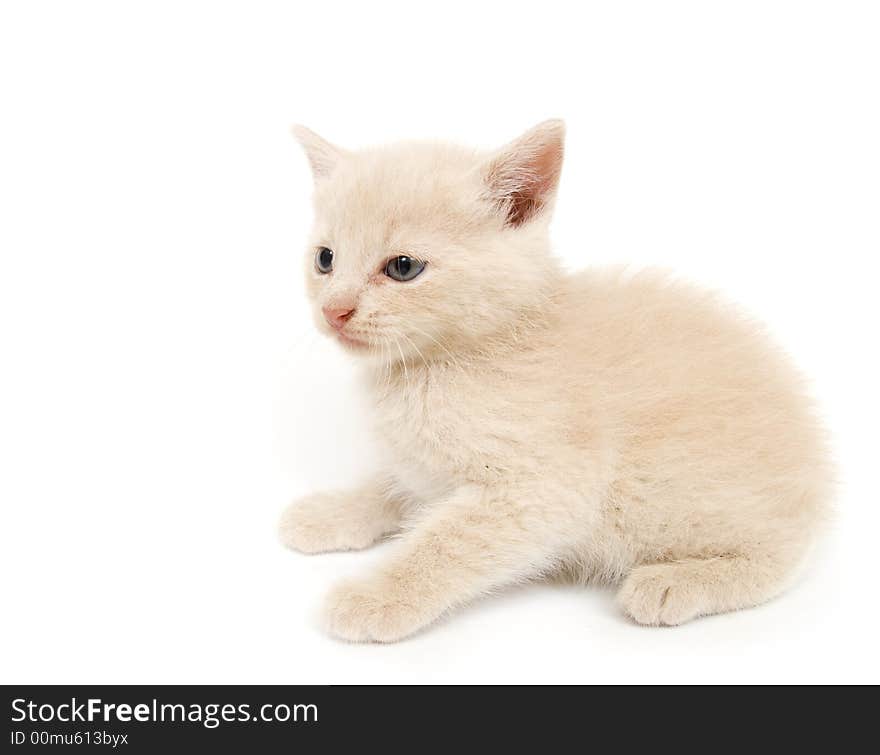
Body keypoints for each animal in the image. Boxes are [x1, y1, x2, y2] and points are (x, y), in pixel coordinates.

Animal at [282, 121, 832, 640]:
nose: (334, 311)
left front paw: (374, 598)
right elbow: (391, 487)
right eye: (325, 259)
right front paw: (332, 512)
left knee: (782, 556)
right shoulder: (422, 468)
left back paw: (673, 584)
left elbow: (445, 543)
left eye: (402, 267)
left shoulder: (542, 488)